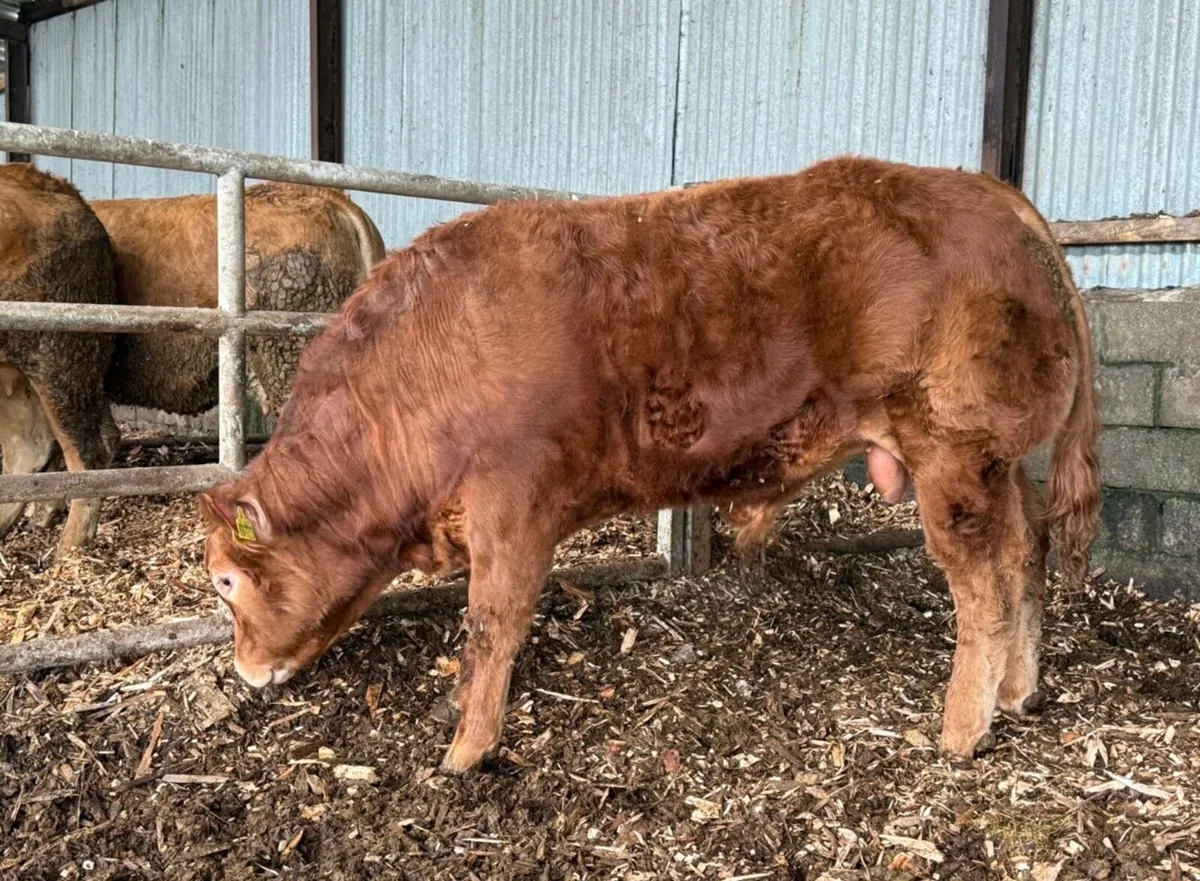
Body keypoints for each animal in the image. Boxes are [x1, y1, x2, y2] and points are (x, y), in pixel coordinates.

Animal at [200, 156, 1101, 773]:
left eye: (225, 580)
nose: (242, 670)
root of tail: (992, 191)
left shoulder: (513, 506)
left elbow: (493, 625)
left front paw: (465, 749)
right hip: (1004, 464)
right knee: (1027, 551)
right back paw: (1019, 692)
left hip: (954, 453)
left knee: (984, 584)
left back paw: (961, 730)